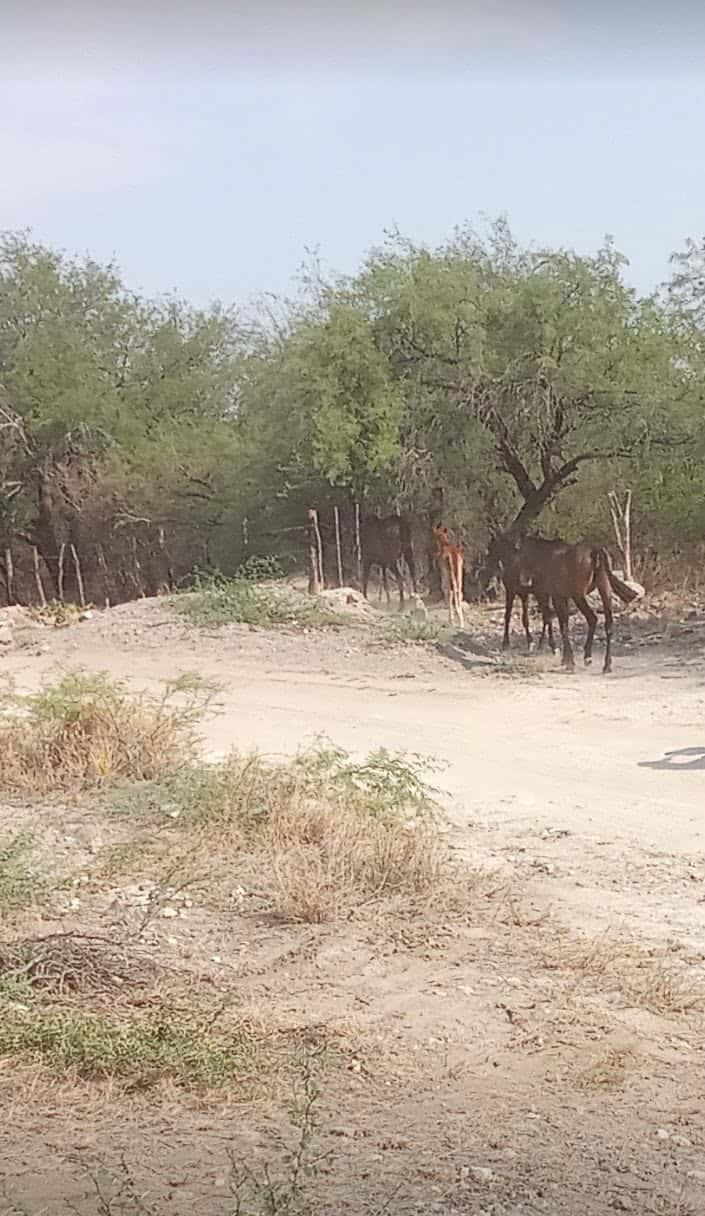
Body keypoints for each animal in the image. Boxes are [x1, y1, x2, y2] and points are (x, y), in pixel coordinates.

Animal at [478, 530, 636, 671]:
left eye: (490, 548)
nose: (485, 568)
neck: (545, 556)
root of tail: (595, 551)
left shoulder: (551, 596)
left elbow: (559, 624)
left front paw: (567, 659)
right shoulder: (555, 596)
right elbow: (558, 622)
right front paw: (563, 657)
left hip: (578, 595)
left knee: (592, 619)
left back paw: (587, 657)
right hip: (604, 591)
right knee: (608, 624)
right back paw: (606, 665)